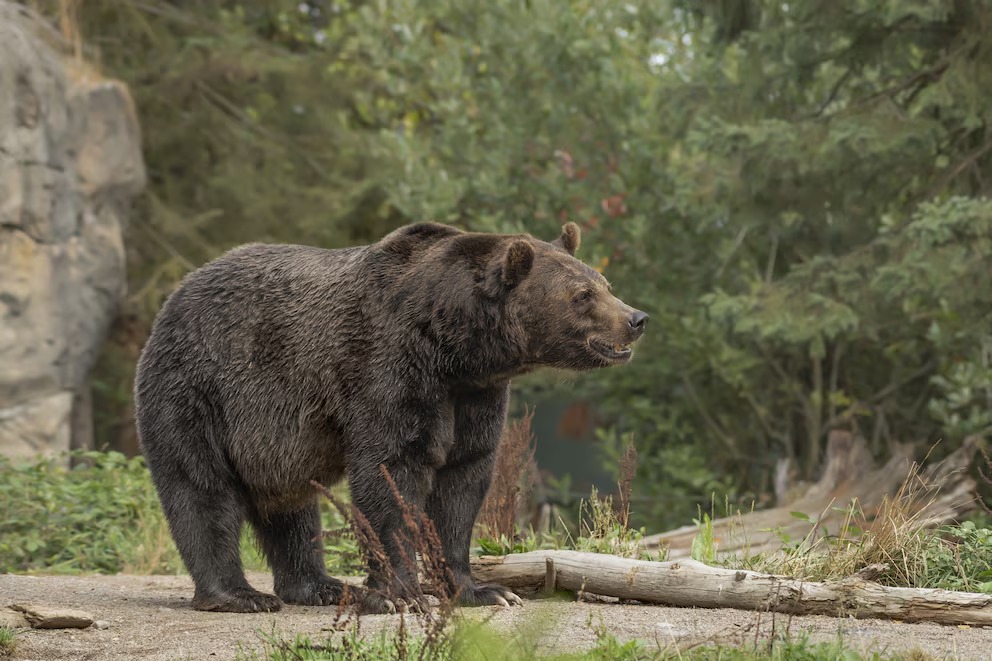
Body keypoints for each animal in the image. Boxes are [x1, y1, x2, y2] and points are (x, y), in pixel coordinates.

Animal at [134, 222, 647, 613]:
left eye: (605, 284)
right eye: (582, 294)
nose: (636, 318)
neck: (454, 347)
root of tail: (175, 295)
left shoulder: (474, 396)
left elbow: (463, 482)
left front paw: (483, 590)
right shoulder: (389, 368)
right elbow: (390, 474)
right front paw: (401, 594)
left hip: (273, 440)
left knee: (292, 508)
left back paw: (320, 586)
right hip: (200, 390)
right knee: (201, 488)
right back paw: (239, 595)